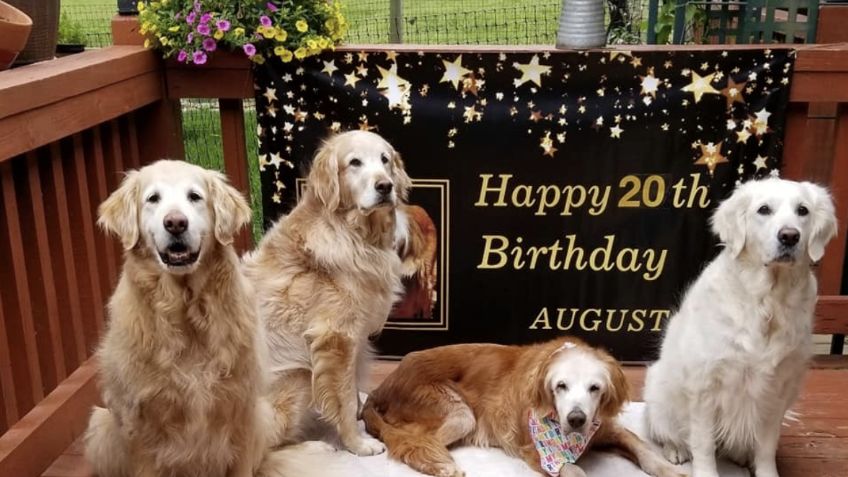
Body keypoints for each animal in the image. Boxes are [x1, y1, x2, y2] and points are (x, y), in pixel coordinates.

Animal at [644, 177, 840, 474]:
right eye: (764, 210)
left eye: (802, 210)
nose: (789, 236)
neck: (768, 302)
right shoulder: (705, 385)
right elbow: (703, 444)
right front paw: (705, 473)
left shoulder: (778, 390)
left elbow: (767, 447)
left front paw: (767, 472)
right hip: (658, 392)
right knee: (671, 432)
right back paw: (676, 449)